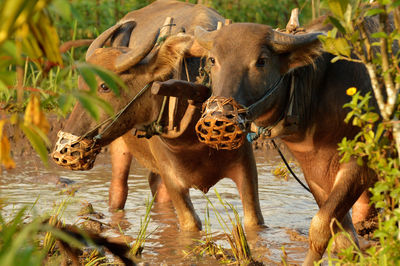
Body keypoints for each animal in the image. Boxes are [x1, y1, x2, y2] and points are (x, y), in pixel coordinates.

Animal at [50, 0, 266, 232]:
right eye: (80, 84)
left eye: (104, 86)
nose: (64, 150)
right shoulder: (172, 177)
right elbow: (191, 224)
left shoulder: (246, 166)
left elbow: (254, 222)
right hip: (120, 146)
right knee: (118, 189)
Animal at [194, 18, 378, 264]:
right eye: (213, 60)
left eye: (261, 61)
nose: (217, 118)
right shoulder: (314, 172)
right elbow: (342, 238)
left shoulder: (362, 163)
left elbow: (320, 227)